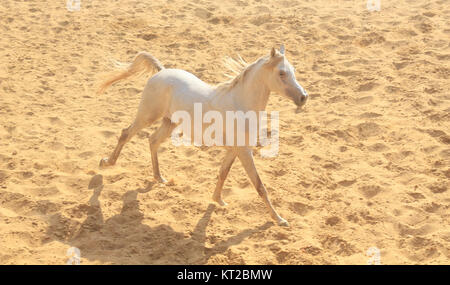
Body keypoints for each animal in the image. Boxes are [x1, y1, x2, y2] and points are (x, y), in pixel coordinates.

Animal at [97, 45, 310, 225]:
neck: (240, 104)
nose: (303, 97)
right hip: (148, 115)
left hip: (169, 122)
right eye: (281, 73)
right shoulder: (244, 152)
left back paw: (160, 178)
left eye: (293, 71)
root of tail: (161, 71)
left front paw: (218, 200)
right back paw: (106, 163)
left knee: (153, 141)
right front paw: (279, 220)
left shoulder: (234, 150)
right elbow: (259, 185)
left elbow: (223, 173)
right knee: (126, 134)